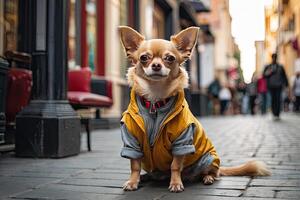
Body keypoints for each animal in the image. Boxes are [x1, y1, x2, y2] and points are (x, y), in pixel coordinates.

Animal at [118, 25, 270, 193]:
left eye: (170, 58)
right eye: (144, 58)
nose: (156, 65)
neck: (155, 100)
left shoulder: (182, 141)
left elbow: (175, 165)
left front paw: (176, 183)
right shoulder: (132, 141)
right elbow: (135, 165)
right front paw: (133, 182)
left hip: (208, 159)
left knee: (212, 173)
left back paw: (207, 178)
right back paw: (146, 177)